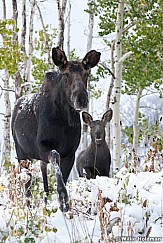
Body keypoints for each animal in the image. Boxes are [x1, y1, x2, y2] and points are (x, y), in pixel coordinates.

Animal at [11, 46, 100, 212]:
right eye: (66, 74)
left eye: (87, 74)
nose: (82, 98)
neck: (64, 119)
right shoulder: (44, 147)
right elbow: (55, 158)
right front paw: (63, 199)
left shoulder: (70, 153)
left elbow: (62, 175)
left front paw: (63, 204)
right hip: (22, 154)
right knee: (27, 185)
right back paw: (30, 208)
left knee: (42, 173)